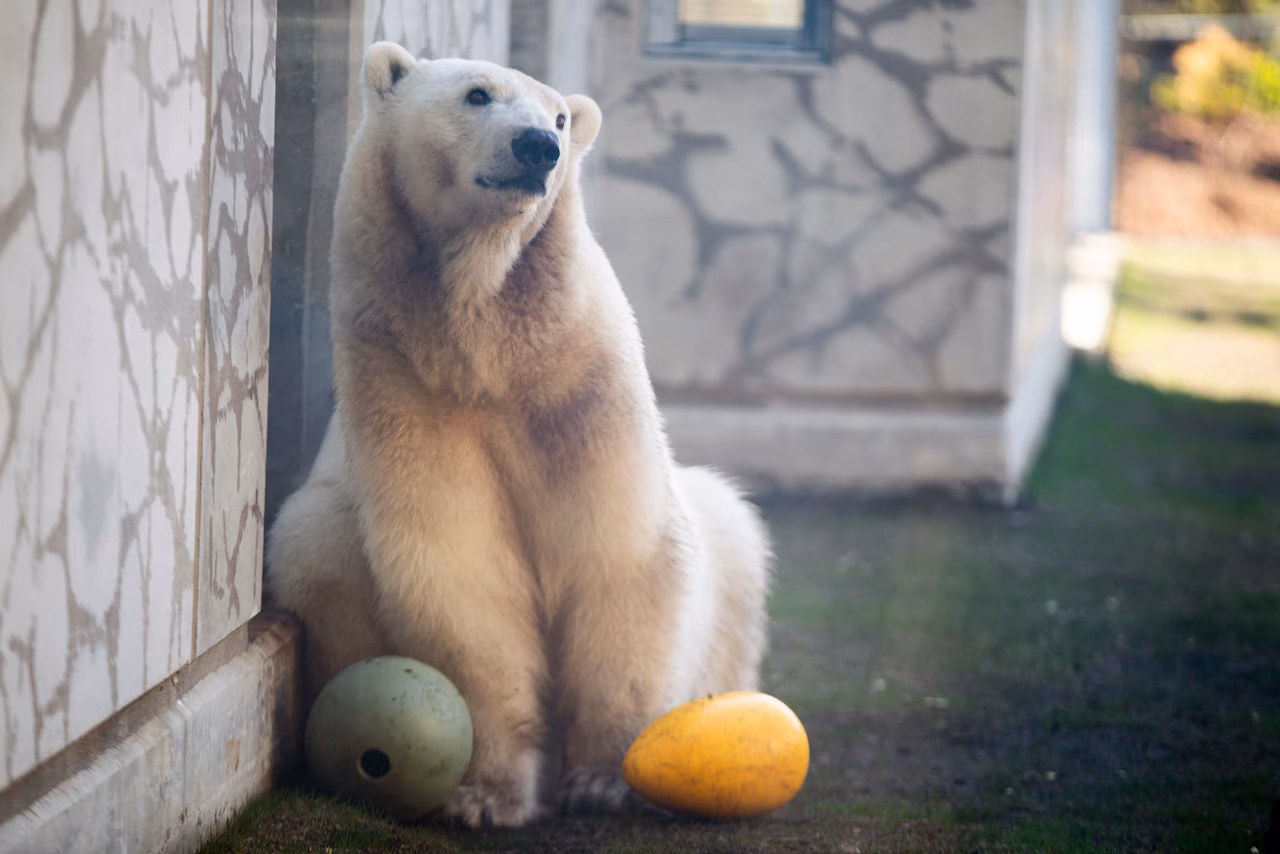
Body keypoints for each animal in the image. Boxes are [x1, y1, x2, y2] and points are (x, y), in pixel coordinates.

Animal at [265, 42, 772, 828]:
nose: (539, 146)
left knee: (730, 526)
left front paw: (605, 776)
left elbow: (618, 546)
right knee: (315, 543)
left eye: (560, 115)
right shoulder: (405, 385)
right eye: (477, 94)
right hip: (324, 528)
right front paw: (484, 795)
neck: (486, 346)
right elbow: (459, 570)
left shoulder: (582, 382)